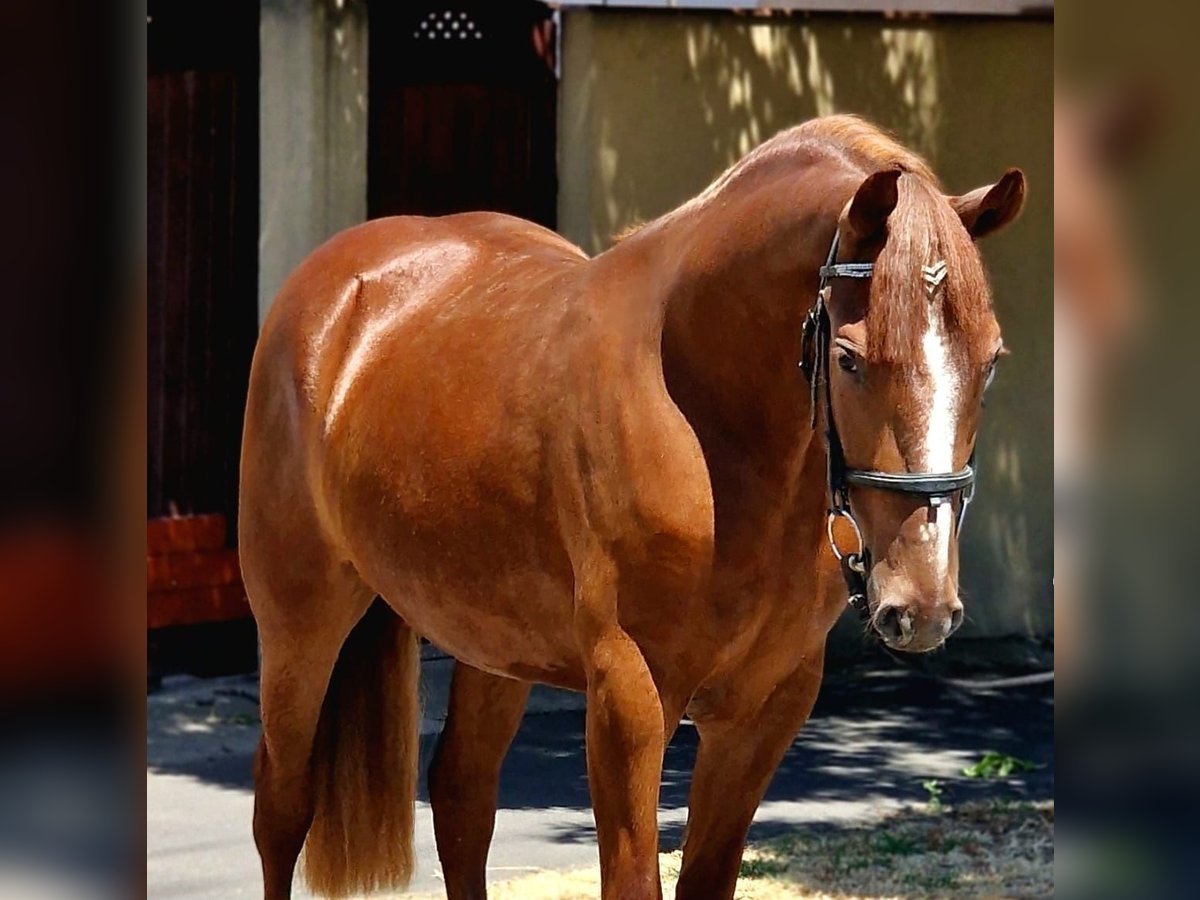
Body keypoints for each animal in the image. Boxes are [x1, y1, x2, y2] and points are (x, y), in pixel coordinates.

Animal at [241, 114, 1022, 900]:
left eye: (991, 362)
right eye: (850, 359)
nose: (921, 605)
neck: (702, 417)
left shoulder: (764, 709)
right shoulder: (629, 695)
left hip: (495, 641)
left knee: (461, 796)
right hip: (299, 623)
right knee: (282, 808)